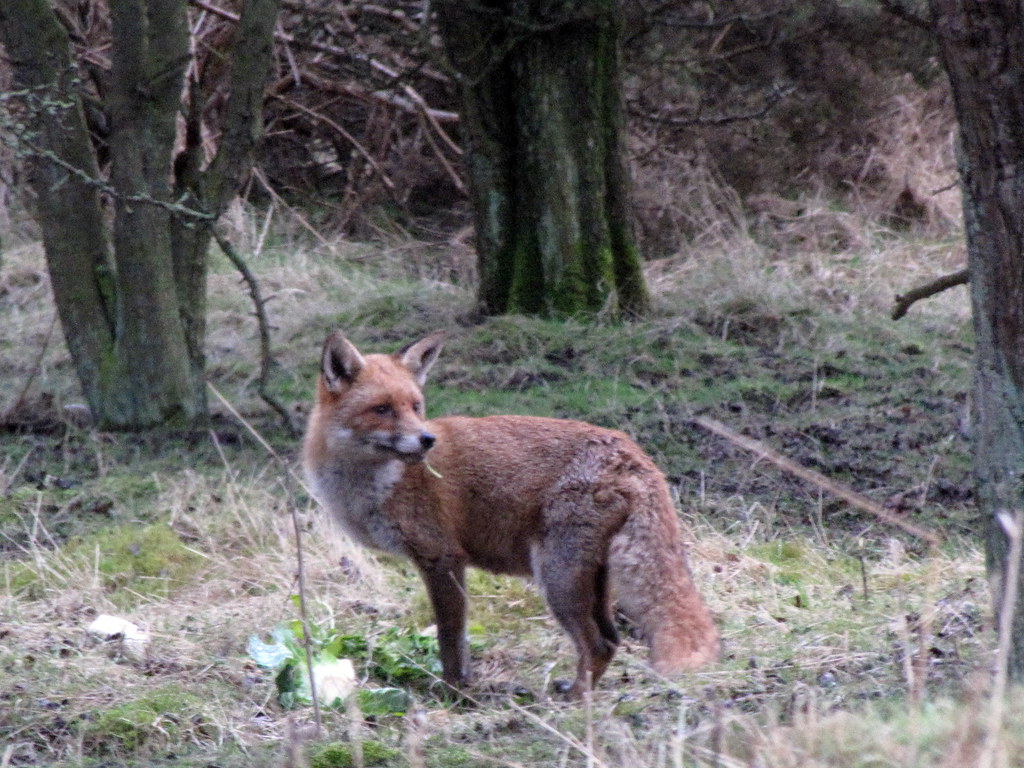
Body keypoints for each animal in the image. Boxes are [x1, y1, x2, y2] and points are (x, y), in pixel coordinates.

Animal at [302, 331, 718, 697]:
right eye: (382, 409)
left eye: (415, 406)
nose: (426, 440)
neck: (378, 484)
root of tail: (631, 451)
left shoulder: (442, 558)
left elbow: (451, 641)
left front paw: (454, 694)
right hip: (591, 579)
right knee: (611, 641)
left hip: (557, 578)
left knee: (597, 644)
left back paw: (573, 701)